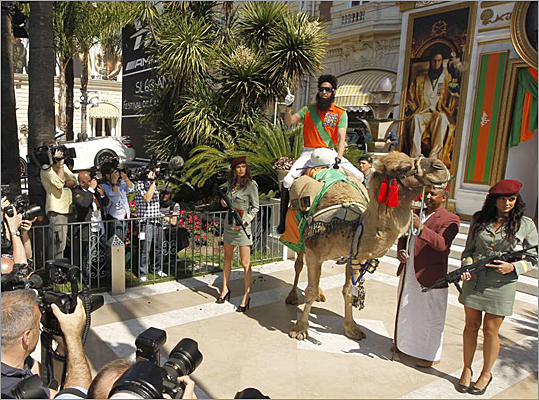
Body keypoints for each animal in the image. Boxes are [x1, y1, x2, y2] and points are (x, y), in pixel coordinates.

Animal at [286, 152, 451, 340]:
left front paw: (352, 328)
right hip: (299, 239)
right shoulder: (313, 250)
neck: (352, 226)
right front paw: (300, 329)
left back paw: (321, 294)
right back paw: (292, 297)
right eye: (403, 168)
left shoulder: (355, 255)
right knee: (299, 264)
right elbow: (310, 291)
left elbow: (349, 291)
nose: (440, 167)